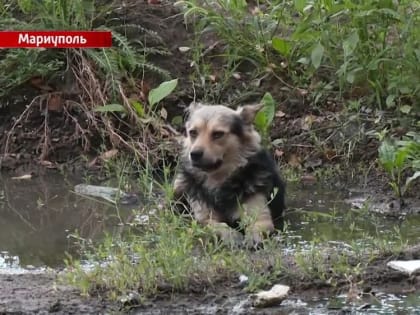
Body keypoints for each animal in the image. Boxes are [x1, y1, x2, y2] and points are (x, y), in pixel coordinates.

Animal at [173, 102, 286, 248]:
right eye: (193, 132)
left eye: (218, 134)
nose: (194, 154)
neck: (218, 180)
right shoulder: (204, 219)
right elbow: (218, 225)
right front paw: (231, 235)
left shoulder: (261, 215)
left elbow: (257, 226)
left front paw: (253, 237)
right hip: (179, 184)